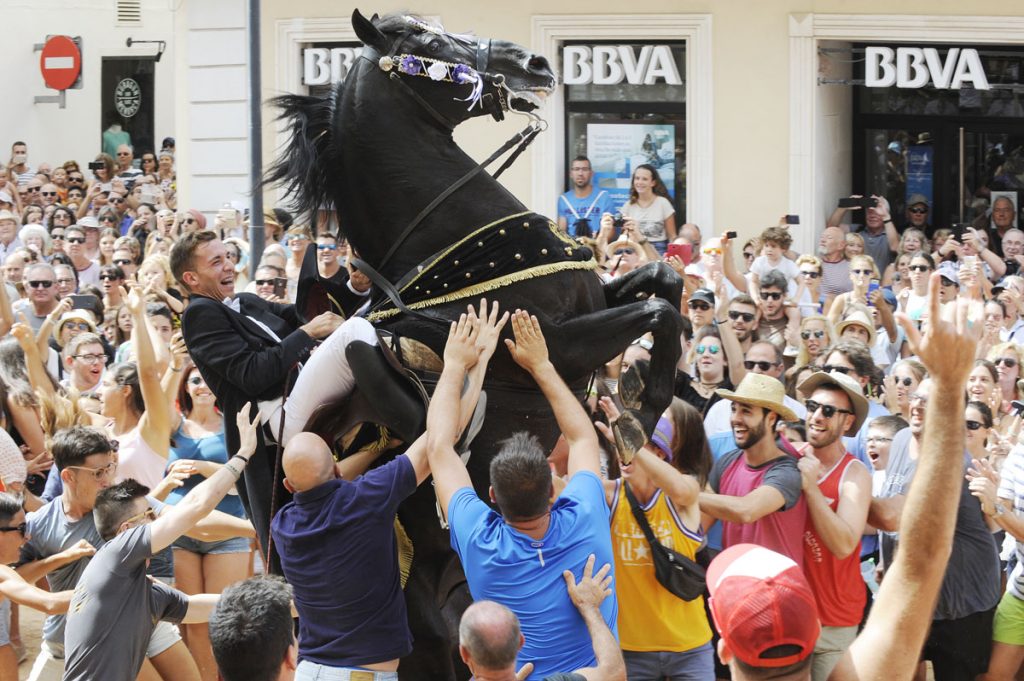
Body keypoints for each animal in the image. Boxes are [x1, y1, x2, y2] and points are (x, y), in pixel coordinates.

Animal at [266, 11, 679, 679]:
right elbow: (660, 310)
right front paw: (638, 414)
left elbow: (664, 282)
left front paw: (631, 399)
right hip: (431, 624)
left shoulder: (594, 303)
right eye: (428, 43)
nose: (534, 64)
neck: (446, 248)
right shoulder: (552, 343)